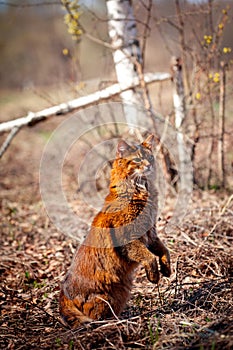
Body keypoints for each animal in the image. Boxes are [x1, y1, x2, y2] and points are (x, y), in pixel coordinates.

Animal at [59, 135, 171, 328]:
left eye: (150, 157)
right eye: (137, 160)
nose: (149, 165)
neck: (141, 191)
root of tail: (63, 292)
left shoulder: (151, 234)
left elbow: (165, 251)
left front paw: (166, 269)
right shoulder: (129, 239)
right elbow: (148, 256)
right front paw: (154, 276)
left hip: (121, 292)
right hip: (107, 298)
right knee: (98, 317)